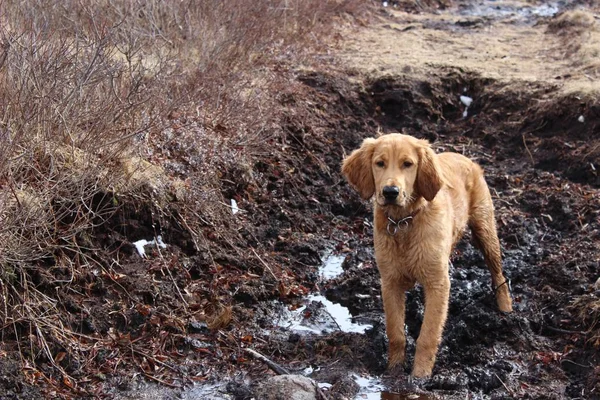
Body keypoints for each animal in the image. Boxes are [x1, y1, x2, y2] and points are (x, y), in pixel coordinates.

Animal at [342, 133, 510, 376]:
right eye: (380, 163)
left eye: (408, 164)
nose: (390, 192)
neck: (404, 221)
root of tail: (463, 156)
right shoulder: (390, 281)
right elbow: (395, 332)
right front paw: (394, 370)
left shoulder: (437, 283)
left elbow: (428, 335)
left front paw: (420, 376)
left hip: (485, 229)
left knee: (498, 272)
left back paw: (506, 309)